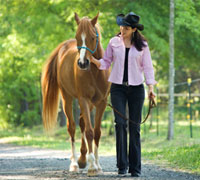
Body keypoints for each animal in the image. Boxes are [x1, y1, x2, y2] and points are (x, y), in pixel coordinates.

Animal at [41, 13, 111, 176]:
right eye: (78, 36)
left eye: (92, 37)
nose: (82, 63)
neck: (95, 71)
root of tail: (63, 47)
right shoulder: (83, 99)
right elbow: (90, 132)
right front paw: (92, 167)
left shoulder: (102, 102)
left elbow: (97, 132)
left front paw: (97, 165)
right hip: (67, 98)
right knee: (72, 127)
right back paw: (74, 163)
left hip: (89, 104)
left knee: (82, 123)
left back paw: (82, 159)